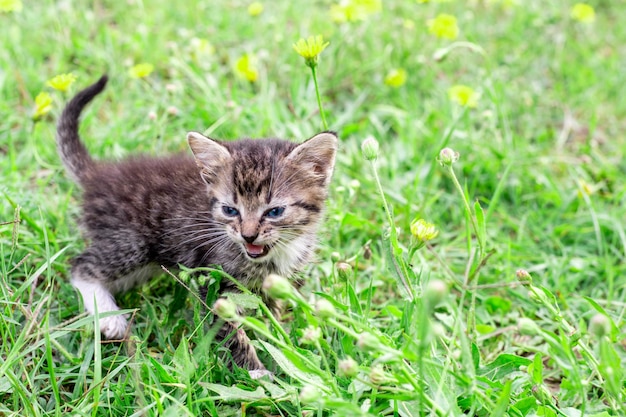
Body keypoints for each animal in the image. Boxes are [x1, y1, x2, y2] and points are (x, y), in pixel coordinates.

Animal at [58, 75, 336, 376]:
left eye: (275, 212)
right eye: (230, 210)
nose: (248, 235)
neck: (273, 255)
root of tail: (98, 175)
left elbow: (269, 319)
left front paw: (278, 347)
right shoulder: (215, 284)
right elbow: (231, 334)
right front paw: (256, 373)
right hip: (131, 244)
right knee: (81, 266)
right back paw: (109, 317)